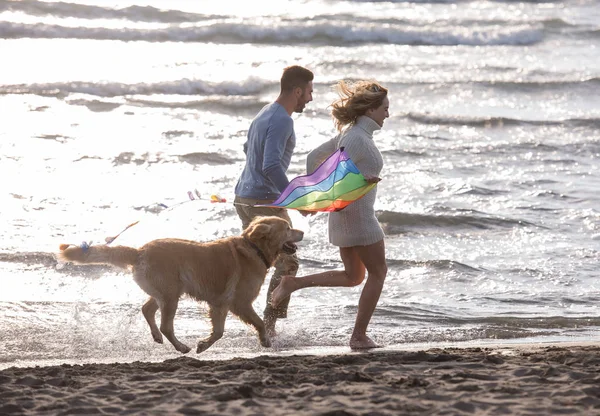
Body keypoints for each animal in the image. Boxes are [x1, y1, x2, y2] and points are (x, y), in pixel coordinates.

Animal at [58, 214, 304, 354]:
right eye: (288, 228)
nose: (302, 231)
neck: (254, 248)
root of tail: (140, 251)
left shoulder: (219, 304)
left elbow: (219, 332)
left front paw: (204, 345)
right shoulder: (239, 303)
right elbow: (259, 322)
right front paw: (265, 341)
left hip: (165, 292)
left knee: (147, 309)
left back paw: (157, 337)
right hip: (171, 295)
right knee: (166, 325)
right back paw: (180, 347)